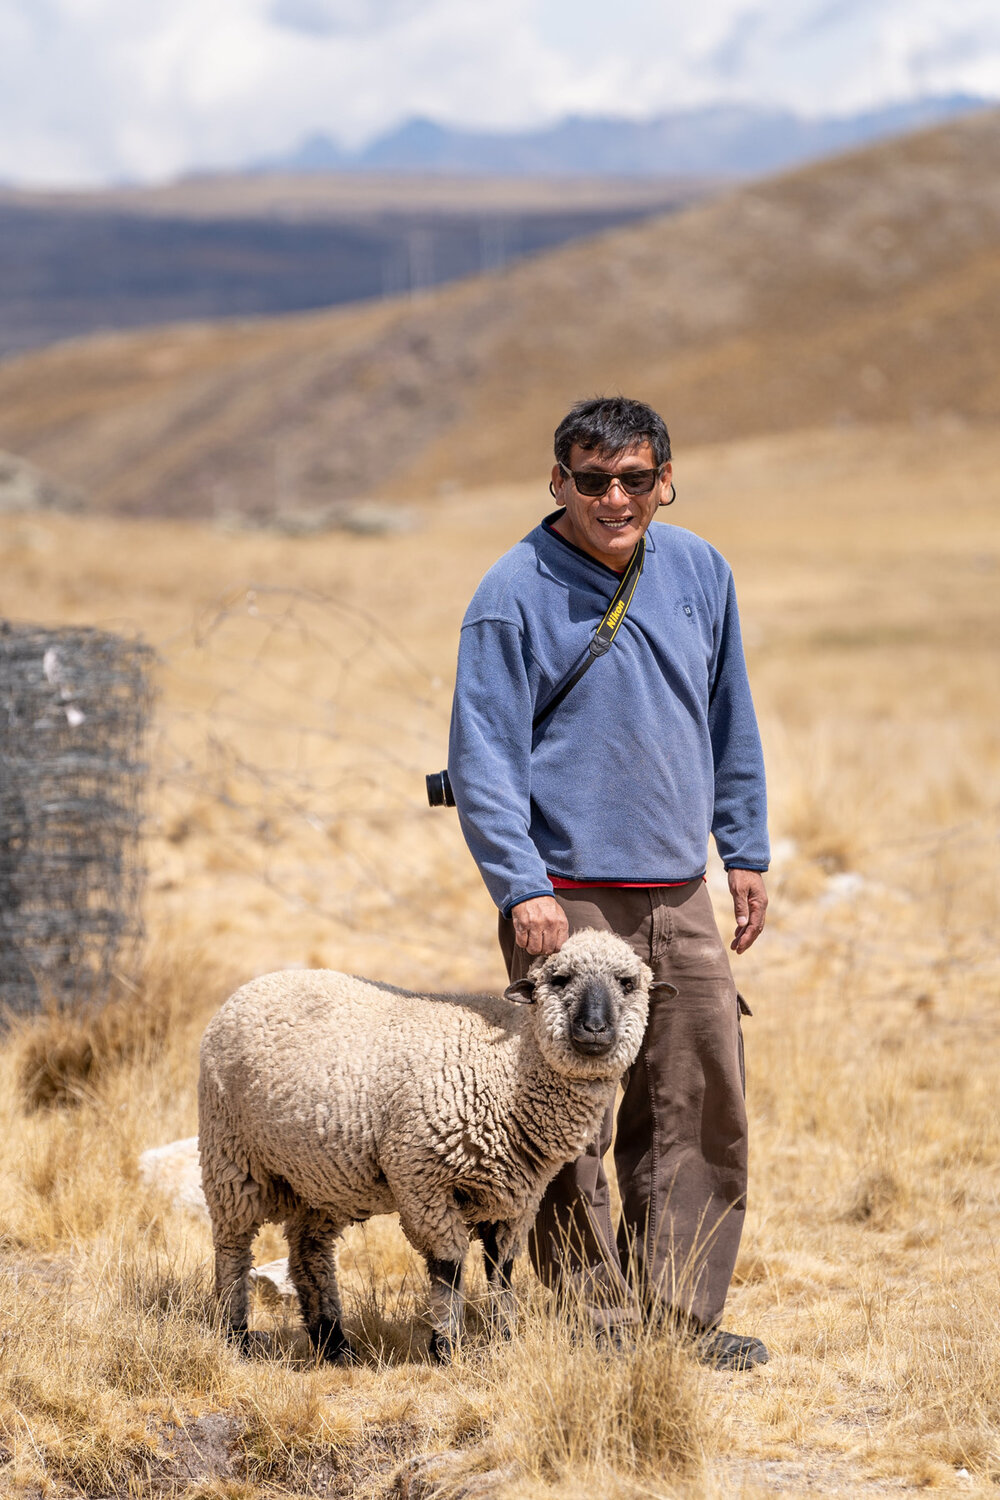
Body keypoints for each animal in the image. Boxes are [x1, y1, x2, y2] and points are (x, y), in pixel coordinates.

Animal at [197, 924, 671, 1362]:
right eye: (560, 979)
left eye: (628, 983)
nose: (594, 1028)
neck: (506, 1068)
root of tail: (252, 986)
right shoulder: (422, 1178)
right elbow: (449, 1267)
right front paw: (446, 1345)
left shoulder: (518, 1198)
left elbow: (502, 1270)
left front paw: (503, 1339)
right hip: (230, 1157)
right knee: (233, 1251)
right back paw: (237, 1336)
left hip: (321, 1178)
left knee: (308, 1253)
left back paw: (332, 1344)